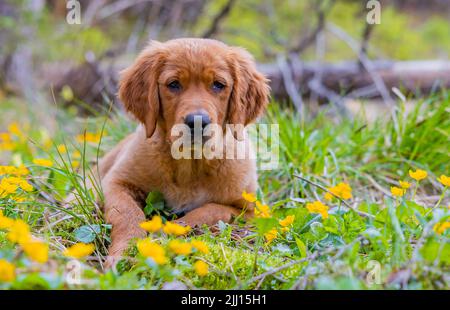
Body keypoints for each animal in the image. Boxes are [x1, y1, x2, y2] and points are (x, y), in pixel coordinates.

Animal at [96, 38, 268, 264]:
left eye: (218, 85)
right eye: (174, 84)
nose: (197, 121)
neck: (190, 163)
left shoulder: (249, 210)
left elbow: (208, 211)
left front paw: (163, 236)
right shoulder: (115, 182)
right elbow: (127, 213)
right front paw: (125, 252)